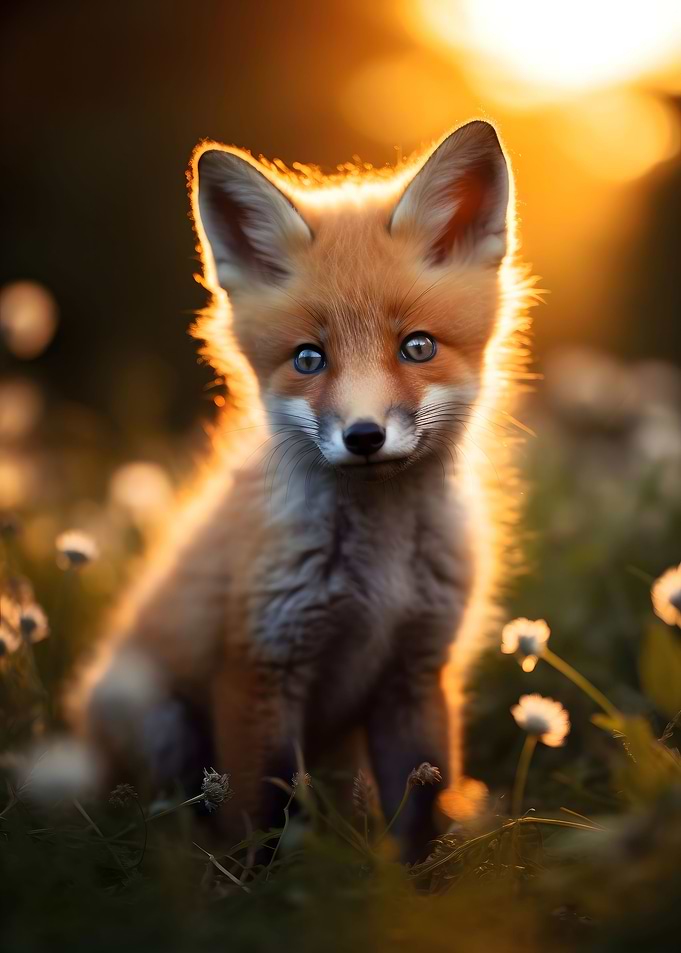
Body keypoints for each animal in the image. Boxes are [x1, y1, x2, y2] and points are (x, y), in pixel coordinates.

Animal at [70, 119, 531, 861]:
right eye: (308, 359)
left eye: (418, 347)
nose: (364, 436)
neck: (377, 580)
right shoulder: (257, 667)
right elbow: (256, 818)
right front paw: (250, 884)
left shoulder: (417, 671)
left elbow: (420, 817)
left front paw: (423, 884)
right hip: (154, 717)